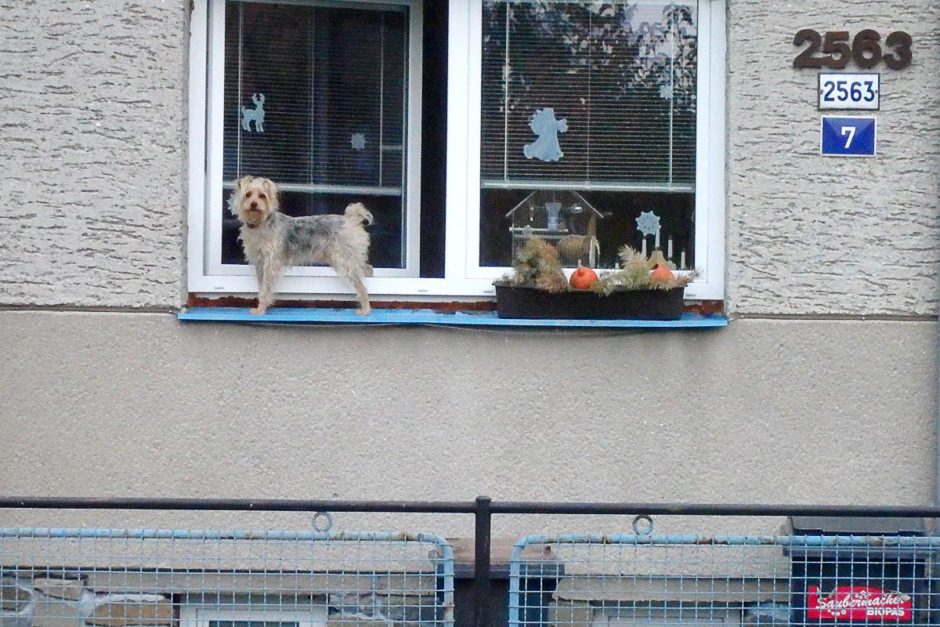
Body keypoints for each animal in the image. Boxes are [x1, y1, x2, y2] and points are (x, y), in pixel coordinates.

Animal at [229, 175, 372, 314]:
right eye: (247, 194)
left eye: (262, 196)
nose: (253, 204)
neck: (260, 223)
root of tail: (351, 220)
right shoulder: (260, 264)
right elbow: (262, 287)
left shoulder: (270, 264)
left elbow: (265, 288)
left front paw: (260, 309)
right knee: (368, 270)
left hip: (345, 260)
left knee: (362, 285)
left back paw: (365, 310)